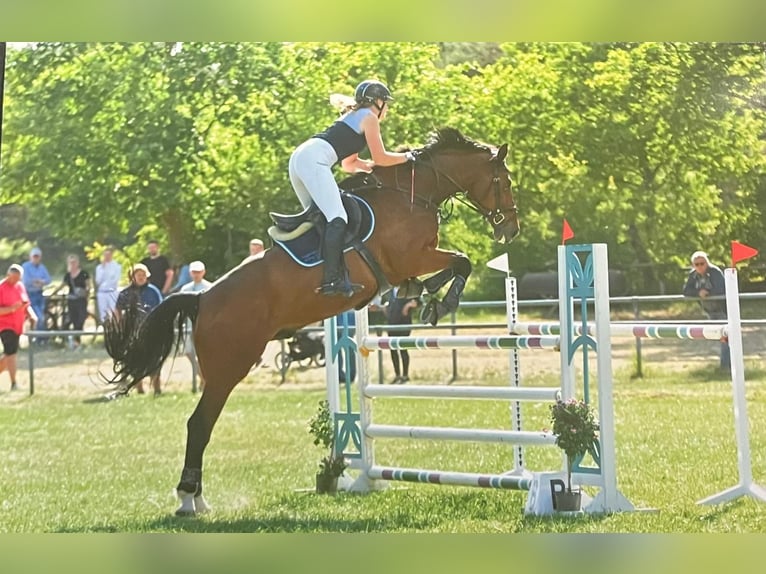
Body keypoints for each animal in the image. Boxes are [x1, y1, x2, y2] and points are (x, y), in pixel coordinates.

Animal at [103, 129, 520, 516]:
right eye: (504, 181)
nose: (510, 230)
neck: (412, 194)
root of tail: (203, 298)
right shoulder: (412, 256)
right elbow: (461, 261)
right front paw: (440, 301)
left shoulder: (410, 264)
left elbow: (445, 269)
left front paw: (425, 294)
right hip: (229, 368)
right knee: (199, 425)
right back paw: (190, 499)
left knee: (201, 424)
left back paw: (197, 499)